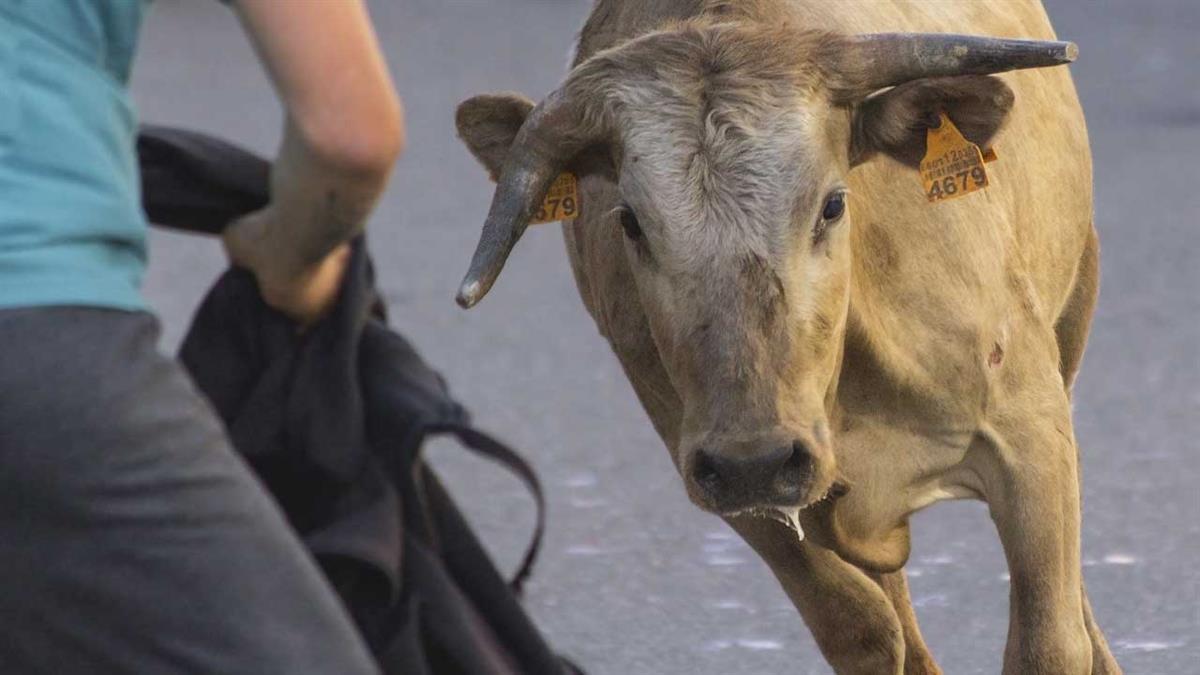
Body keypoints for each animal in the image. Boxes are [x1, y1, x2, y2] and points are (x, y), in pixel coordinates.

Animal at [451, 2, 1113, 667]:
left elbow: (1049, 641)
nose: (757, 458)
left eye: (832, 204)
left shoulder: (1030, 433)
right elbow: (861, 626)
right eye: (631, 223)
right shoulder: (725, 480)